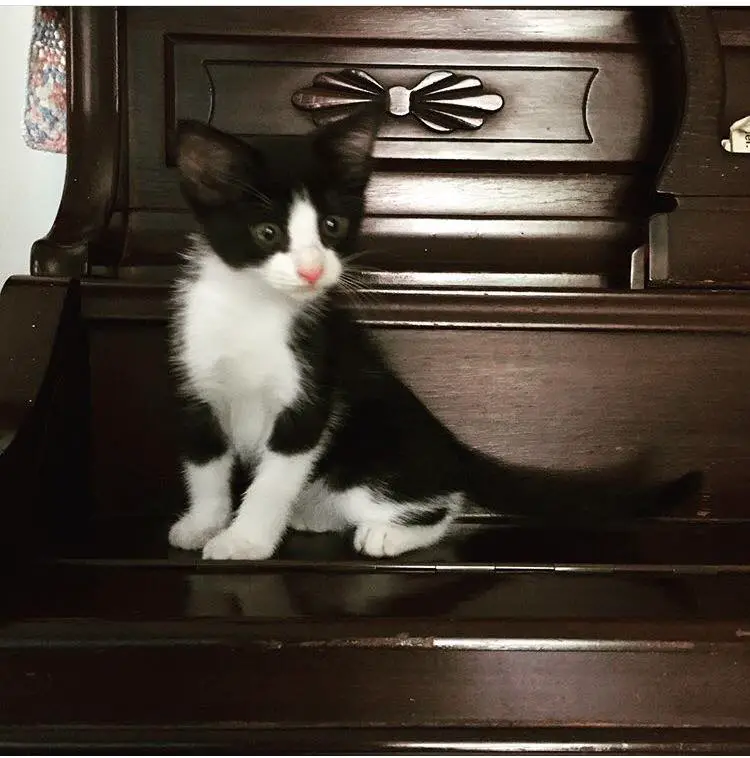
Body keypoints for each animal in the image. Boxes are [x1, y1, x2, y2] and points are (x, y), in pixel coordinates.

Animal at [167, 114, 704, 564]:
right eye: (267, 232)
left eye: (331, 226)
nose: (313, 269)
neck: (253, 309)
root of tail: (449, 442)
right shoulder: (197, 389)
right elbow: (204, 466)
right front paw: (204, 524)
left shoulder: (312, 395)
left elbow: (272, 481)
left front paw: (245, 541)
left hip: (371, 451)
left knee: (440, 502)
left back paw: (389, 533)